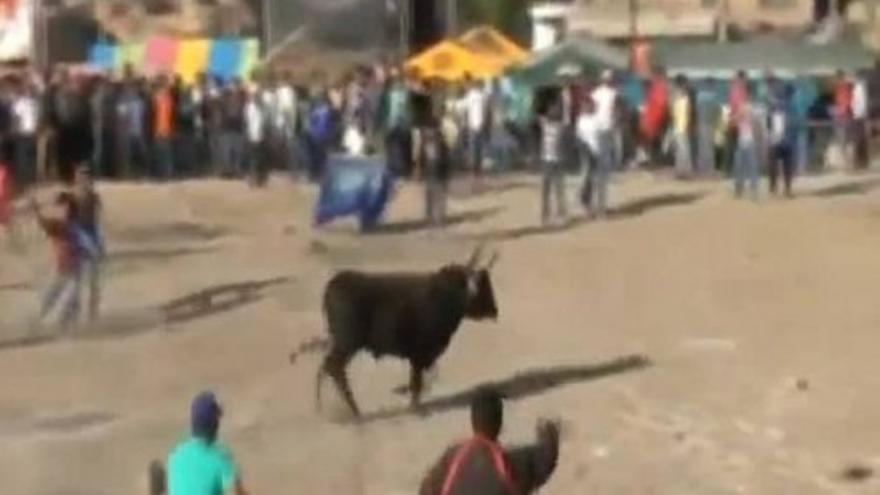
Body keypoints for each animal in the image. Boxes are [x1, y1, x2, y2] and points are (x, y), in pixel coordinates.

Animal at [292, 252, 498, 418]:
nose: (495, 311)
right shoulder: (420, 353)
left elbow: (416, 381)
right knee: (333, 368)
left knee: (328, 368)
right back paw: (354, 411)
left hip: (341, 344)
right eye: (482, 288)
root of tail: (333, 286)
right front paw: (416, 408)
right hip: (346, 344)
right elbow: (416, 382)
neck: (444, 295)